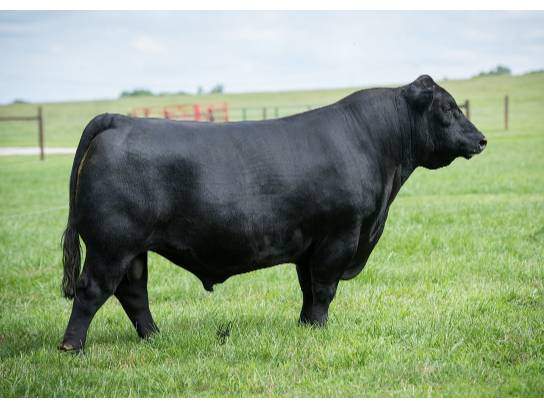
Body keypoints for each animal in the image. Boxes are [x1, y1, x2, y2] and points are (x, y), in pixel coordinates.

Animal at [59, 75, 487, 351]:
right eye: (448, 107)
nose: (481, 139)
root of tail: (120, 120)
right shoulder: (340, 235)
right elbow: (325, 288)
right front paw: (320, 330)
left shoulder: (309, 243)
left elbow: (308, 288)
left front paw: (306, 327)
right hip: (112, 243)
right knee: (93, 289)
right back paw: (72, 347)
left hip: (133, 249)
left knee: (133, 292)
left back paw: (155, 338)